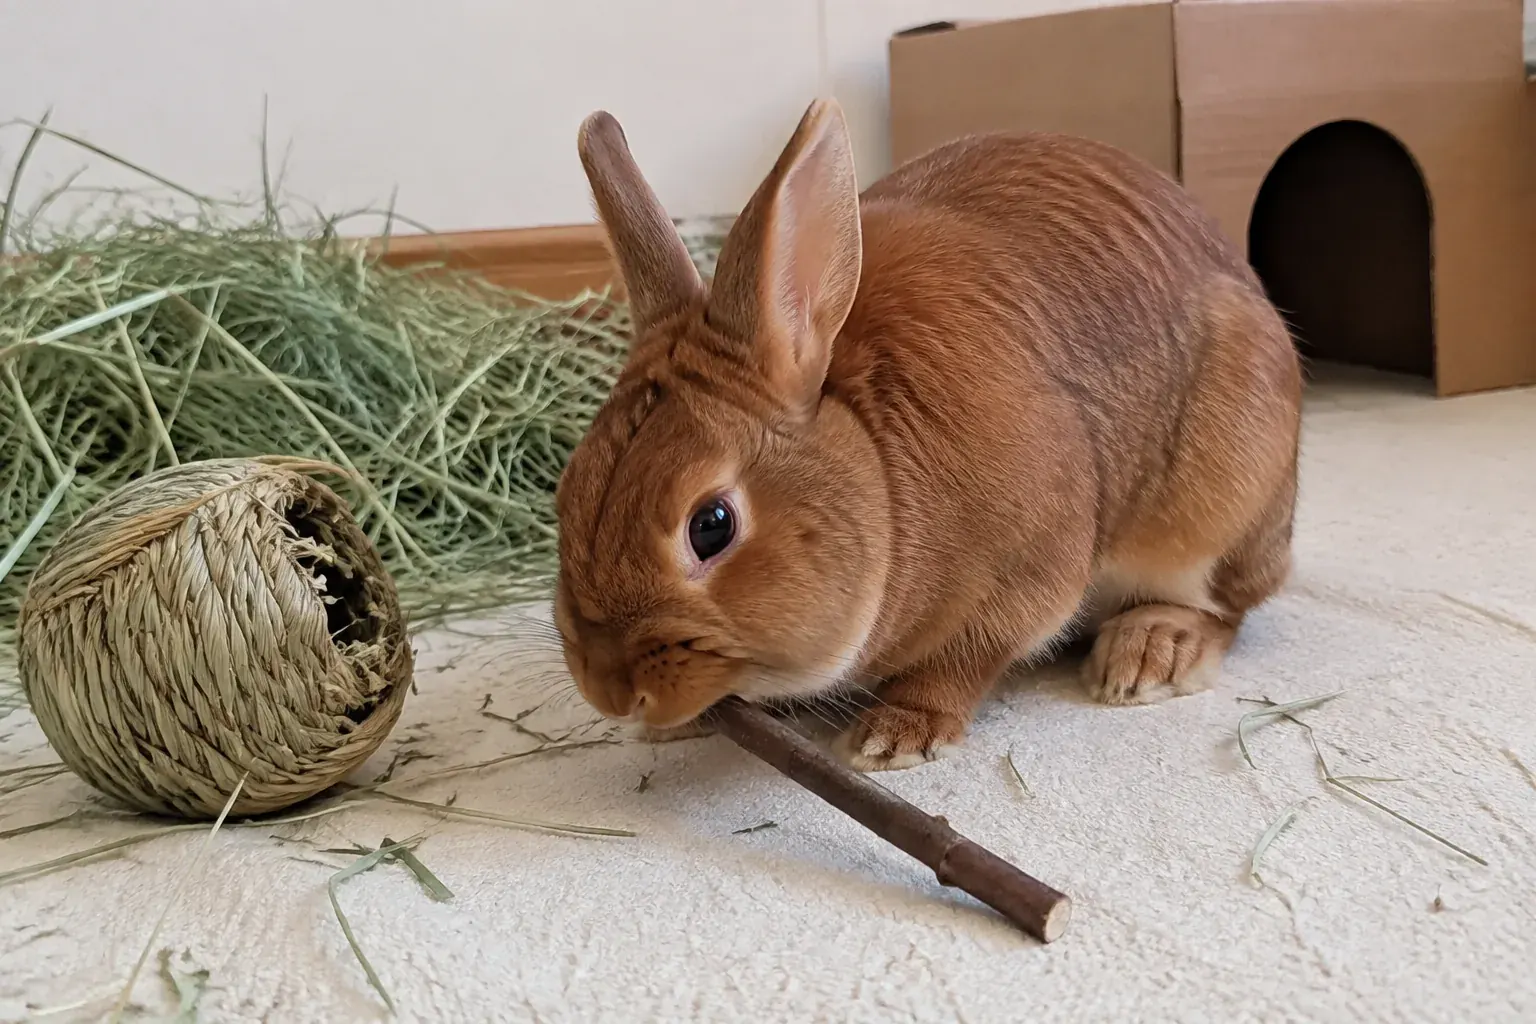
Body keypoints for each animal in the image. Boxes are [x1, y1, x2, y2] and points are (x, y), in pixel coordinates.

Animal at [552, 97, 1302, 771]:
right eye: (566, 493)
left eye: (711, 525)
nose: (609, 689)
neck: (878, 465)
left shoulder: (1028, 569)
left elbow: (964, 660)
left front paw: (897, 735)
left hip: (1220, 511)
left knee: (1230, 605)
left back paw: (1151, 653)